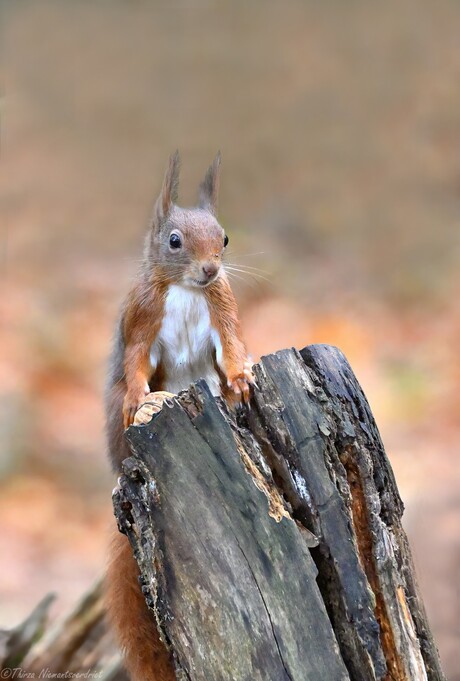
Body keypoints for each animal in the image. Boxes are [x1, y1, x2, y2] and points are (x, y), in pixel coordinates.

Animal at [104, 152, 253, 681]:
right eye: (174, 240)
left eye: (224, 238)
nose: (210, 269)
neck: (188, 290)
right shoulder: (141, 319)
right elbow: (137, 361)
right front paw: (137, 394)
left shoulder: (223, 310)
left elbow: (231, 347)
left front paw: (240, 378)